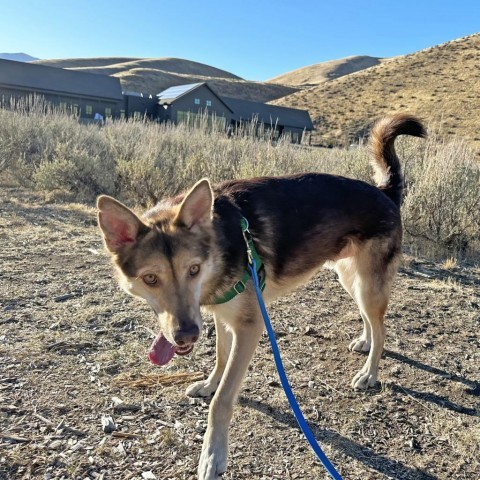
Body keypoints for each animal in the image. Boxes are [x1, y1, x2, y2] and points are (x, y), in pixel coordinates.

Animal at [96, 114, 424, 478]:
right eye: (151, 279)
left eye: (193, 269)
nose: (186, 334)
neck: (222, 242)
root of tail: (385, 192)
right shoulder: (222, 317)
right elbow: (220, 360)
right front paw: (209, 383)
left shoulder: (249, 328)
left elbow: (223, 400)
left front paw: (213, 455)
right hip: (349, 278)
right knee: (371, 321)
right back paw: (365, 343)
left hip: (367, 284)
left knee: (382, 328)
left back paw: (369, 373)